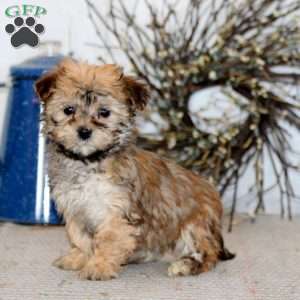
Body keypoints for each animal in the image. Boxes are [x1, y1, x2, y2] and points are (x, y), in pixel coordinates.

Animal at [35, 58, 236, 282]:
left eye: (104, 113)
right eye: (68, 110)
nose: (84, 132)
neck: (88, 161)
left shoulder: (116, 211)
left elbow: (108, 240)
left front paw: (98, 266)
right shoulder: (76, 208)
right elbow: (80, 237)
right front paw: (79, 257)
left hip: (195, 225)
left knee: (208, 253)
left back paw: (185, 265)